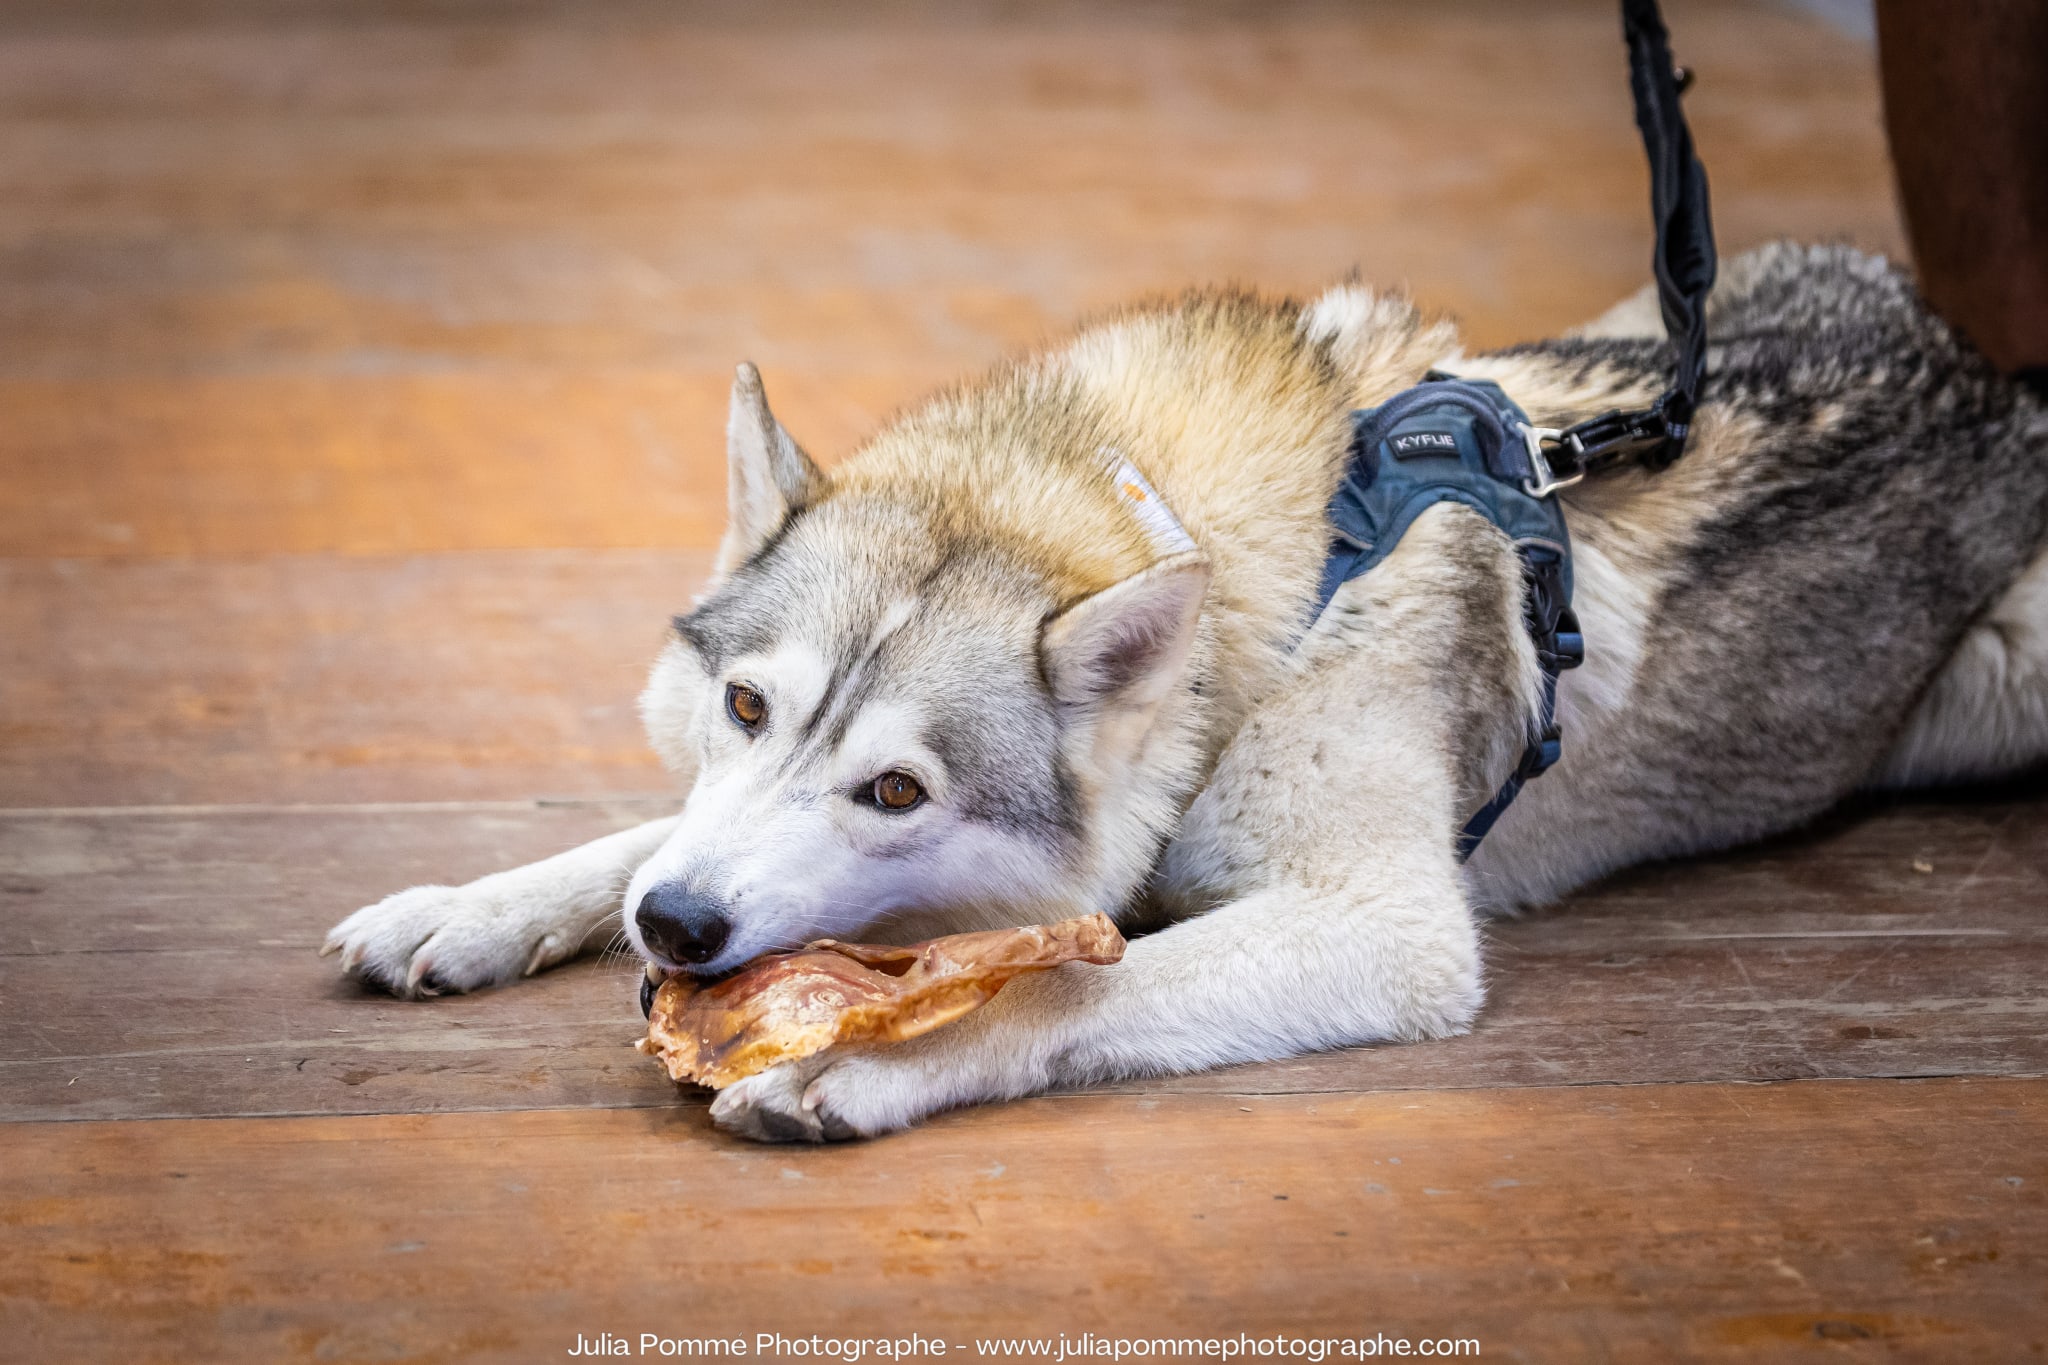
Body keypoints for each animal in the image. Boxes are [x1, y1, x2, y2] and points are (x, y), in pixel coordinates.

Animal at [319, 245, 2048, 1146]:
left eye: (898, 791)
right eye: (745, 708)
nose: (681, 936)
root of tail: (1972, 354)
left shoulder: (1392, 932)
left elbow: (1067, 989)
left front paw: (854, 1060)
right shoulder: (696, 822)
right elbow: (626, 839)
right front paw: (466, 909)